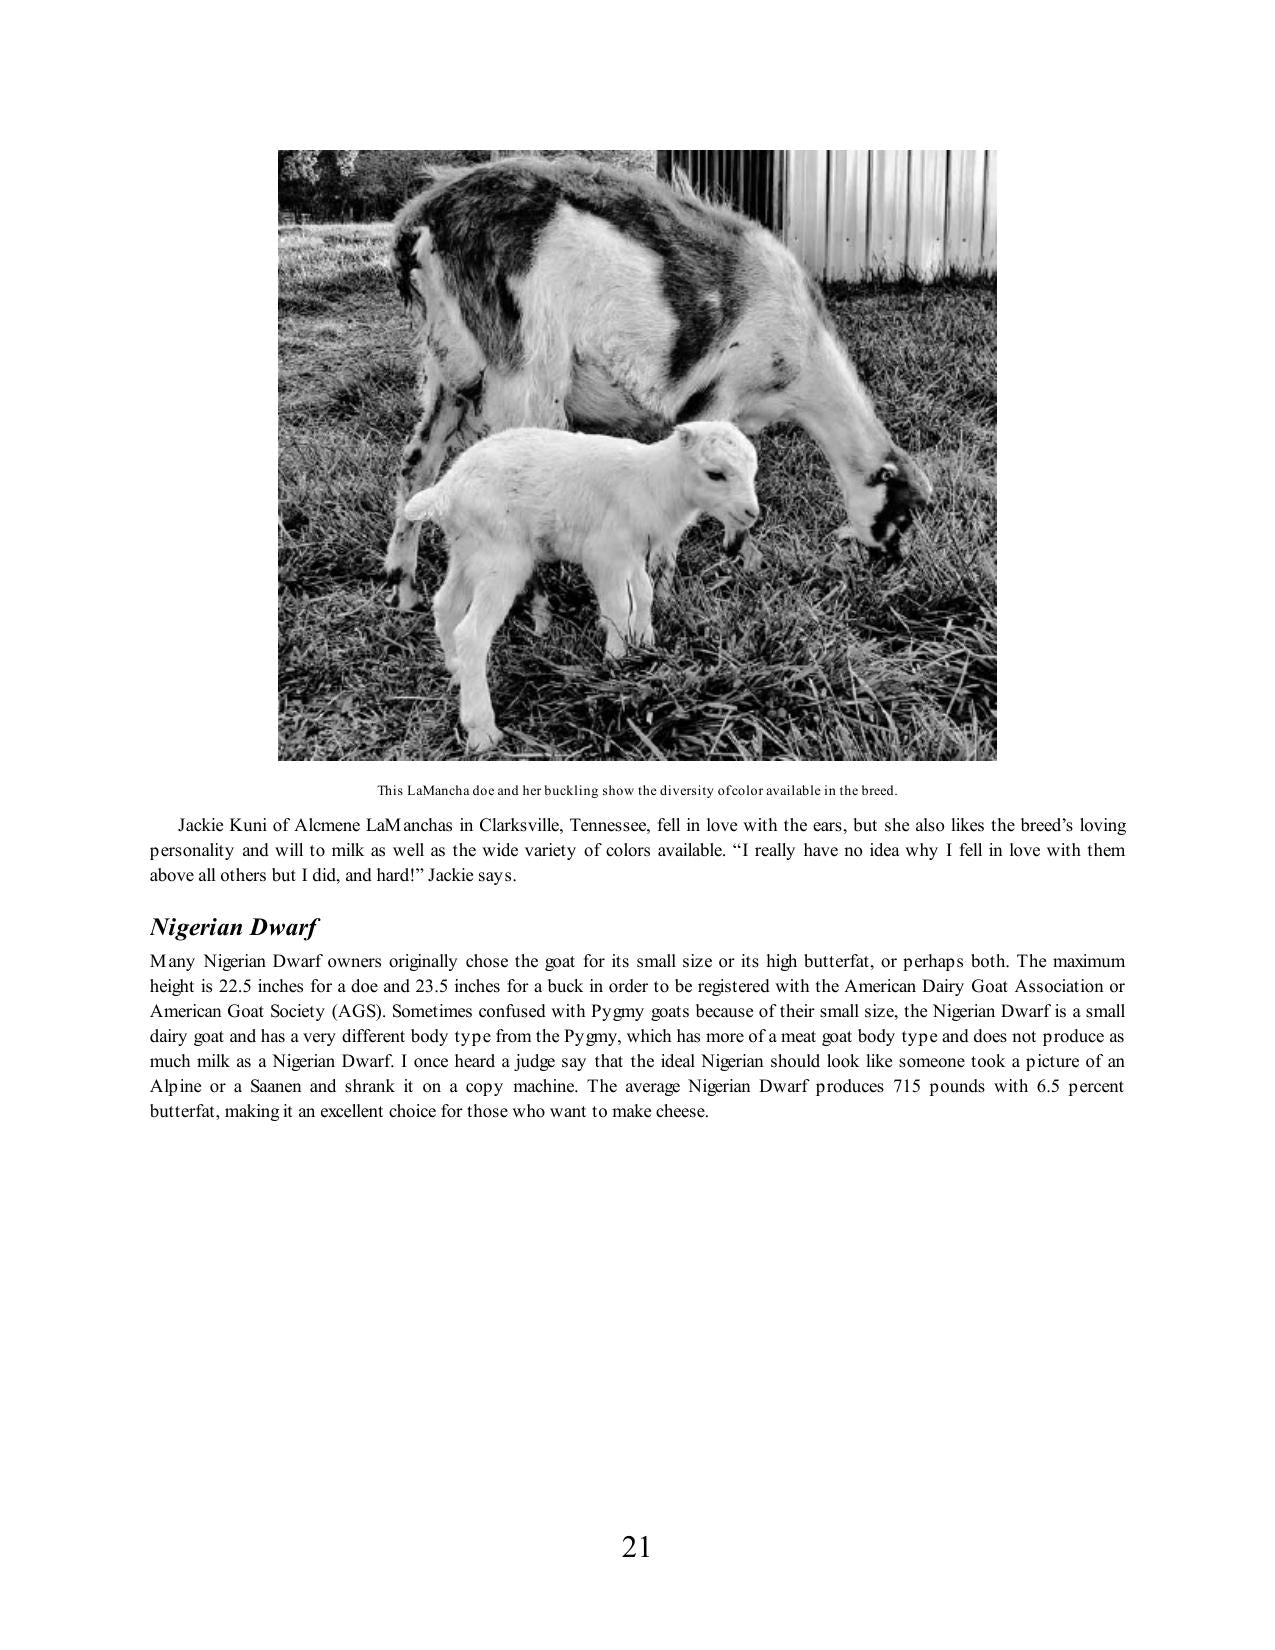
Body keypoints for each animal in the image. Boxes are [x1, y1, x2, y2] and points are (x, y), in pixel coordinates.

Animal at [383, 156, 931, 612]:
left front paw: (741, 554)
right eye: (902, 513)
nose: (896, 561)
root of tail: (421, 221)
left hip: (450, 371)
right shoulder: (715, 399)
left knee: (416, 465)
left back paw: (403, 587)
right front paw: (666, 589)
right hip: (522, 369)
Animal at [403, 421, 759, 752]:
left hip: (467, 550)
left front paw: (644, 640)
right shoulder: (605, 552)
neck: (652, 483)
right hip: (501, 559)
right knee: (472, 634)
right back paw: (482, 731)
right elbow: (619, 606)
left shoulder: (631, 551)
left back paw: (455, 669)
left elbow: (643, 592)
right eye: (715, 474)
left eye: (752, 469)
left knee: (445, 605)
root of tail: (446, 490)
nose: (751, 513)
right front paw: (616, 661)